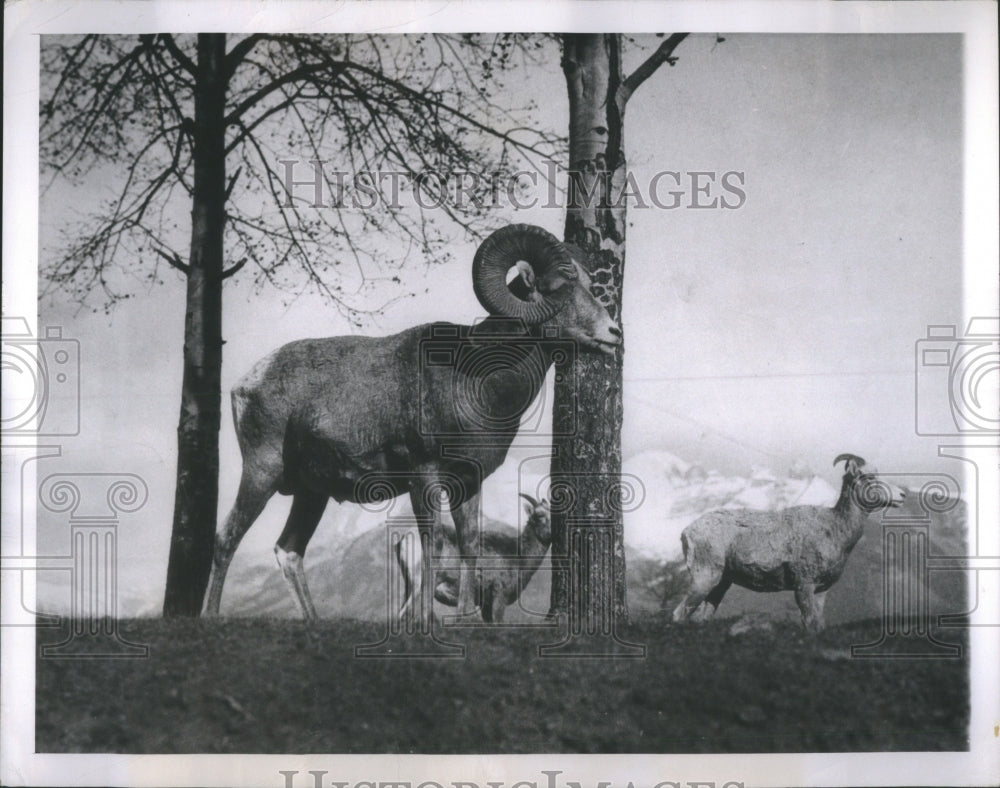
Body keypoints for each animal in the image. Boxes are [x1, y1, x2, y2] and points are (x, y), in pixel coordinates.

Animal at [394, 492, 552, 620]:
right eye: (539, 516)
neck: (519, 557)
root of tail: (405, 538)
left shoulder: (485, 605)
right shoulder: (499, 596)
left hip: (409, 585)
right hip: (418, 584)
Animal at [672, 456, 908, 636]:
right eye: (869, 476)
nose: (902, 495)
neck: (836, 528)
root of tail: (687, 531)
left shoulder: (820, 590)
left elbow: (817, 624)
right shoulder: (804, 585)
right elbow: (809, 622)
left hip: (721, 583)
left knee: (701, 617)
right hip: (704, 577)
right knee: (679, 614)